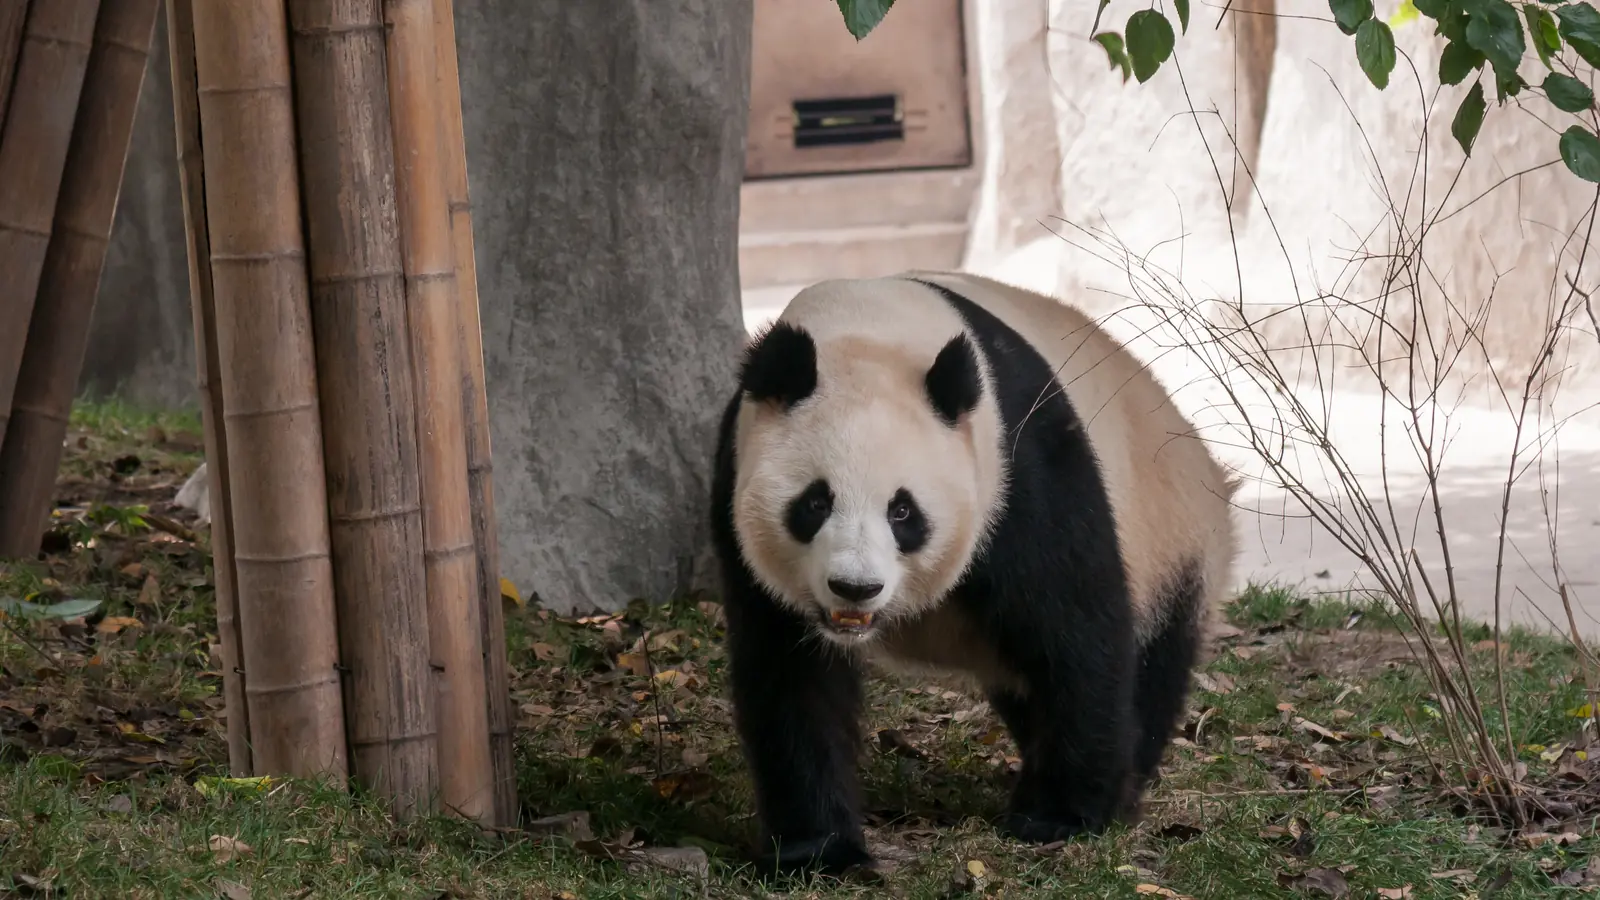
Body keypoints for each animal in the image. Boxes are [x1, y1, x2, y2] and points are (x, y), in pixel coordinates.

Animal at [708, 270, 1239, 874]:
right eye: (815, 503)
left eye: (903, 511)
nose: (855, 589)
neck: (867, 330)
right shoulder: (735, 485)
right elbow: (792, 678)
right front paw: (819, 851)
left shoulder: (1020, 465)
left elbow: (1076, 635)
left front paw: (1060, 817)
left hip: (1172, 542)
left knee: (1150, 663)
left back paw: (1124, 784)